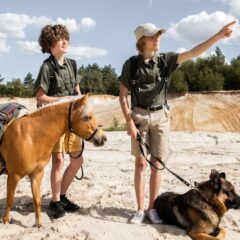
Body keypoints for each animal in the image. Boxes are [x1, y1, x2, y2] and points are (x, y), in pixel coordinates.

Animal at [0, 94, 107, 227]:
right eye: (87, 117)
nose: (103, 138)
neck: (30, 137)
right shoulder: (13, 175)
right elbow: (10, 199)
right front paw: (5, 220)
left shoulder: (36, 174)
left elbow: (37, 199)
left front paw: (39, 224)